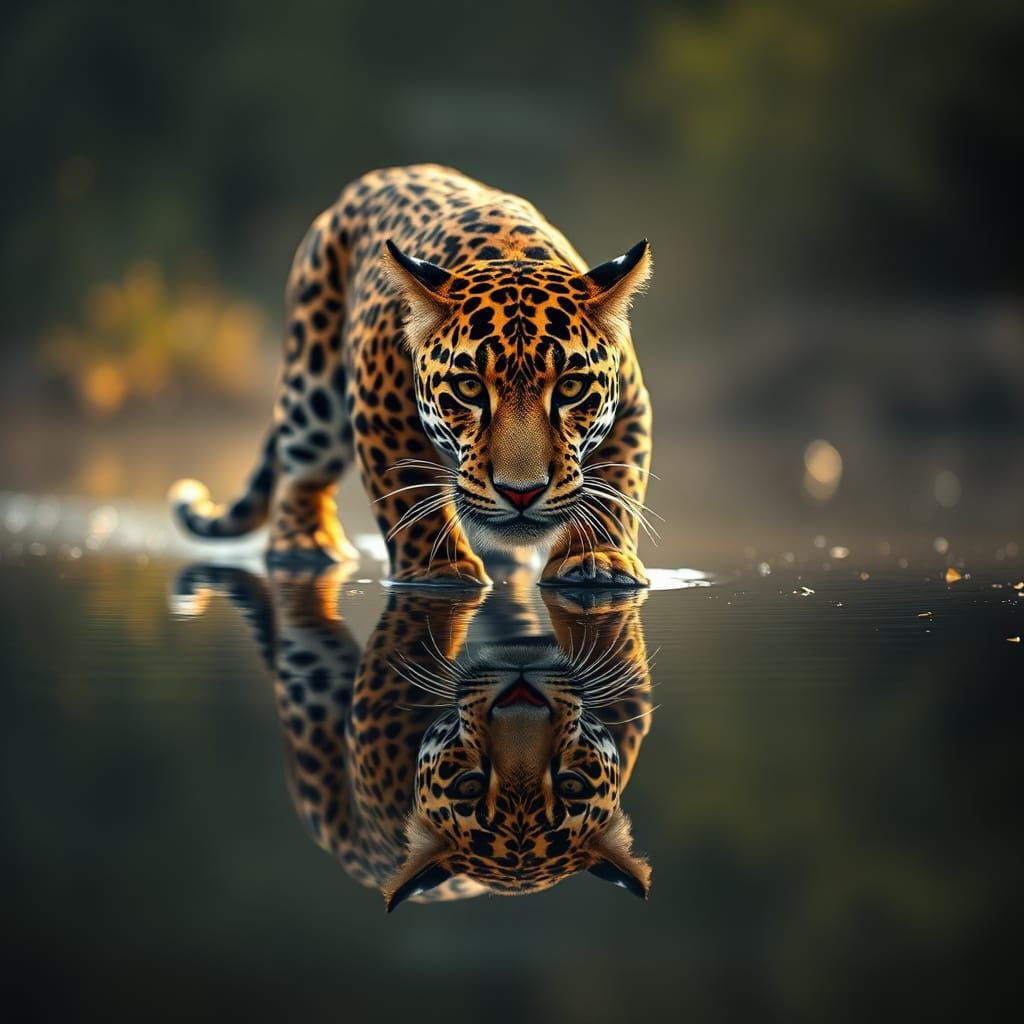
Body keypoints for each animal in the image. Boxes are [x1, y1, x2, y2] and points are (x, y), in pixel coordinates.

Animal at [170, 164, 654, 587]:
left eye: (571, 387)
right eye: (469, 387)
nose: (521, 493)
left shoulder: (630, 407)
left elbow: (615, 488)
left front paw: (598, 561)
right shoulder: (378, 413)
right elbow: (410, 497)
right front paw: (442, 571)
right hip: (315, 393)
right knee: (301, 470)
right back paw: (307, 545)